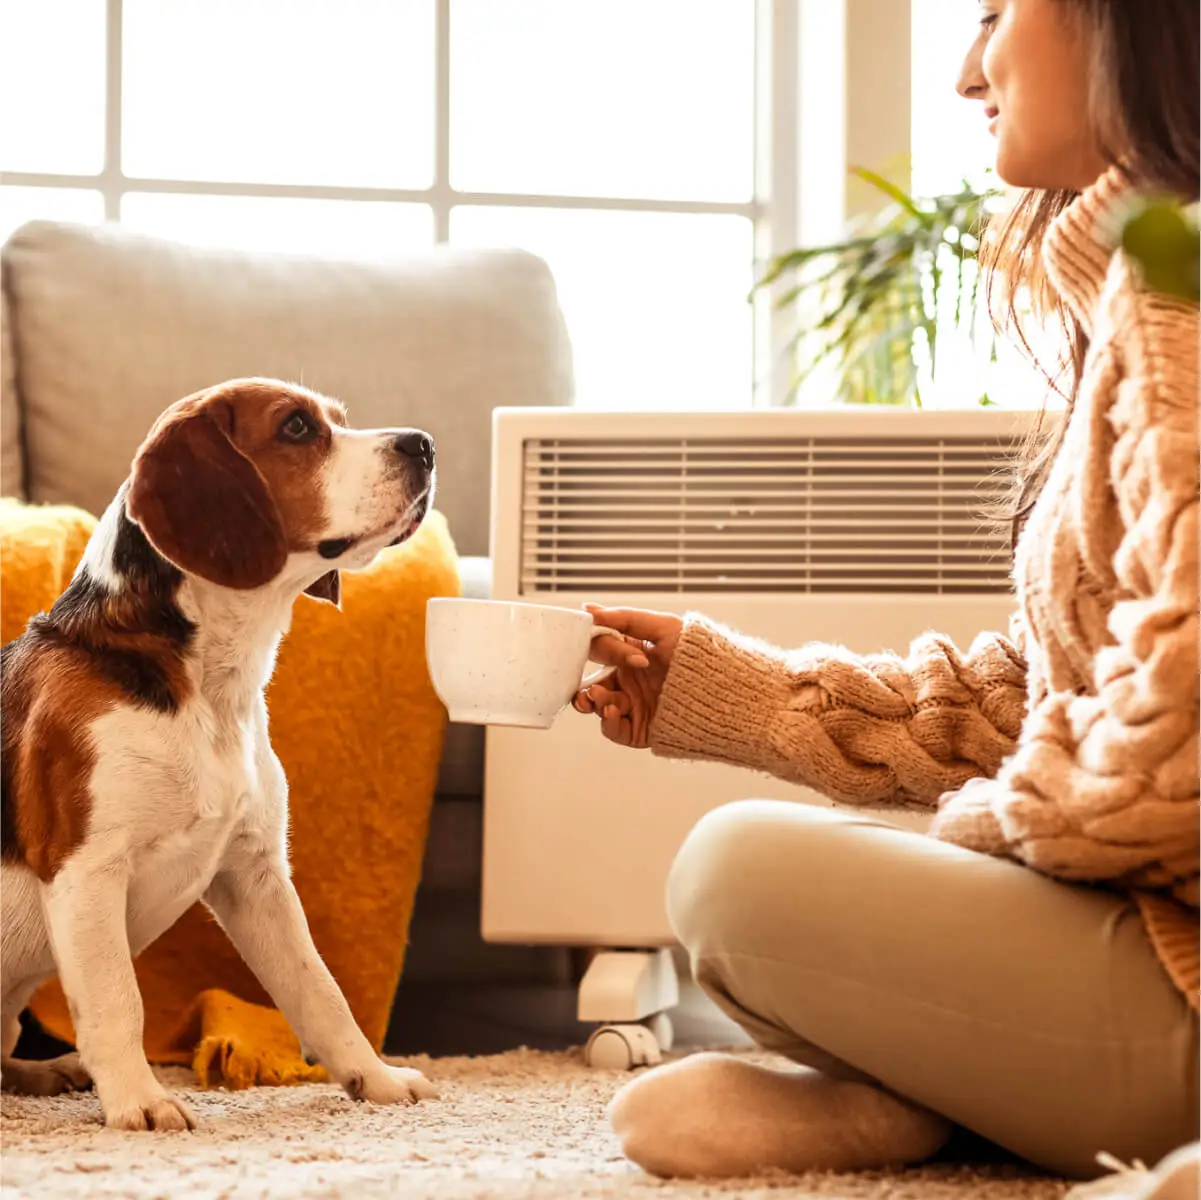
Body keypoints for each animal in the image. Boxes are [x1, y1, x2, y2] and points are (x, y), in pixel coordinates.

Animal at [0, 379, 441, 1129]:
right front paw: (141, 1101)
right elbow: (118, 1003)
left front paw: (375, 1079)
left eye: (339, 420)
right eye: (296, 428)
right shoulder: (86, 867)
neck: (210, 690)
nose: (425, 443)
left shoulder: (255, 874)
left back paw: (49, 1071)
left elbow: (320, 992)